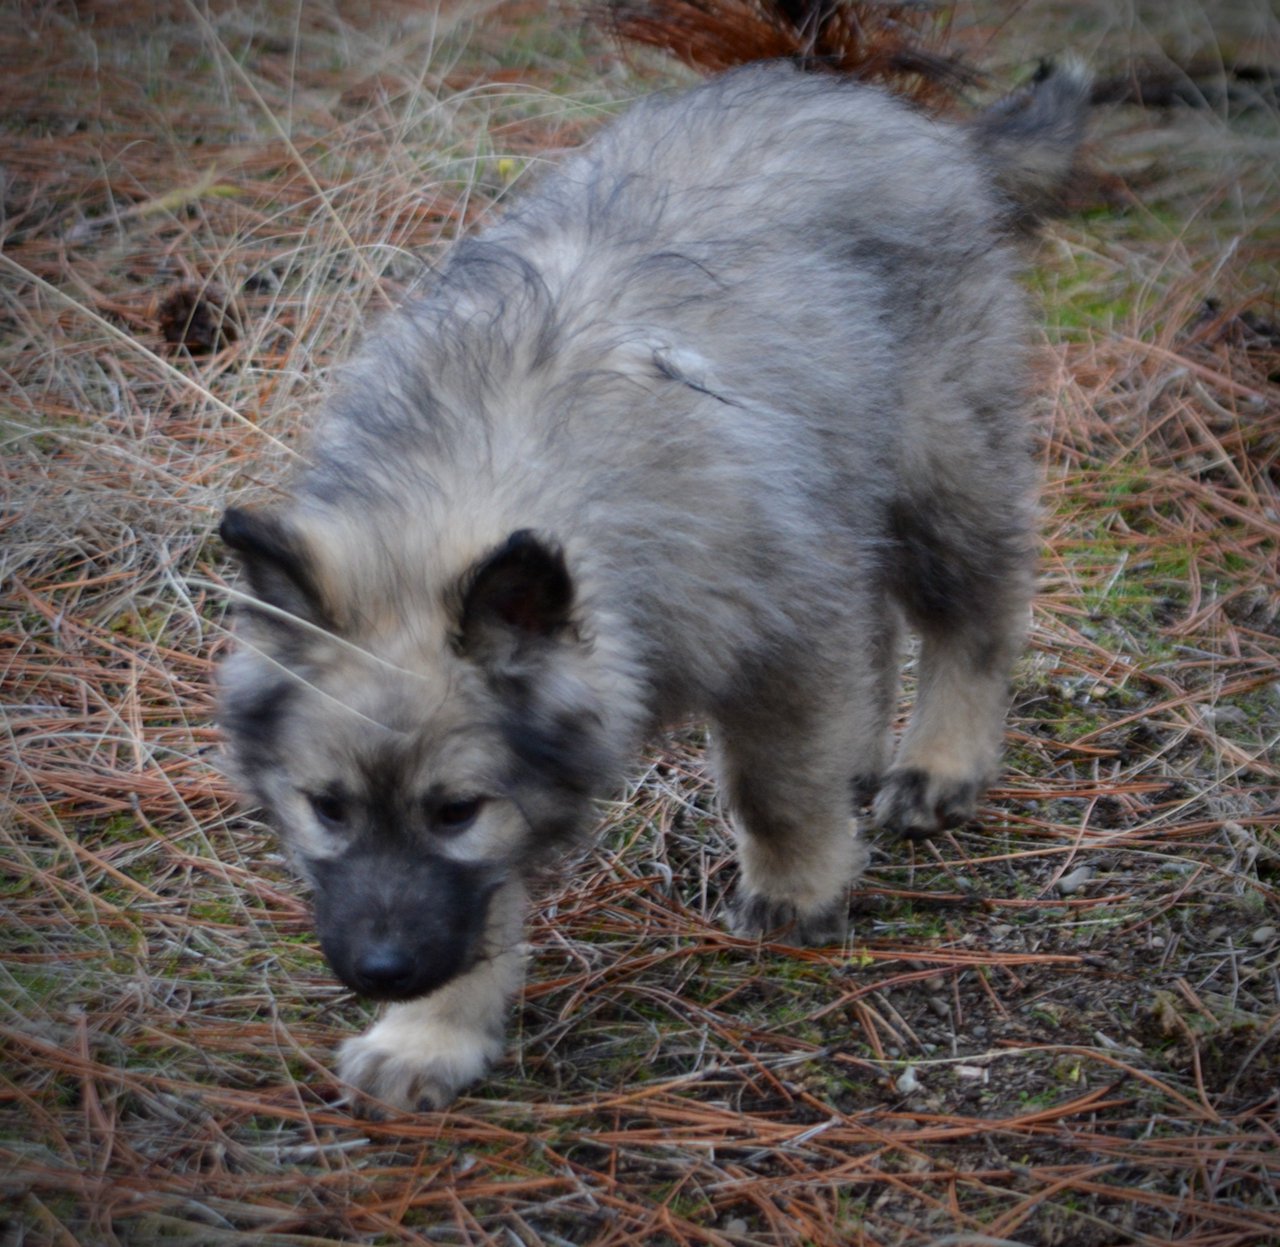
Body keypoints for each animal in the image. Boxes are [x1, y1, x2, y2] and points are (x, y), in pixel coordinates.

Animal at [222, 61, 1090, 1111]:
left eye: (454, 811)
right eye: (328, 808)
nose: (380, 972)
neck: (476, 475)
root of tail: (899, 116)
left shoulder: (777, 632)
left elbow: (773, 783)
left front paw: (797, 884)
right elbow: (482, 904)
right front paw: (432, 1034)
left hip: (940, 458)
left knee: (976, 610)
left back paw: (942, 762)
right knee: (876, 631)